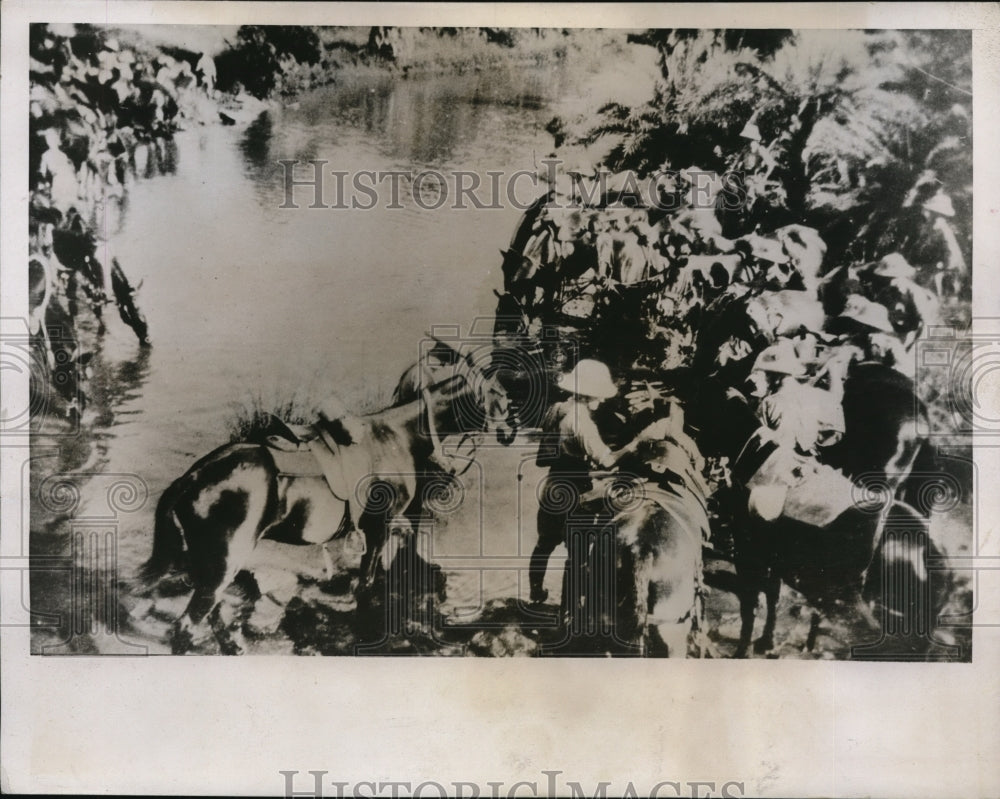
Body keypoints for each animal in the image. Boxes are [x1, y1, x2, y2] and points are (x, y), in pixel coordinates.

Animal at [139, 358, 516, 656]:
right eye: (498, 395)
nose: (511, 431)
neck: (398, 437)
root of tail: (191, 478)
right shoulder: (378, 529)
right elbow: (365, 586)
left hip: (210, 567)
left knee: (212, 615)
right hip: (222, 565)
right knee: (187, 626)